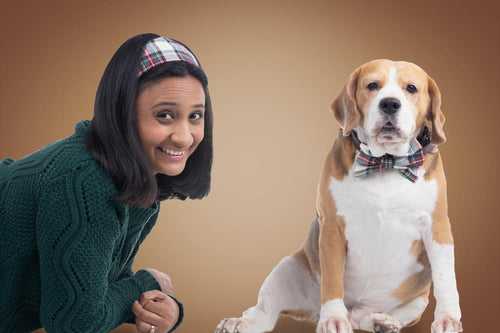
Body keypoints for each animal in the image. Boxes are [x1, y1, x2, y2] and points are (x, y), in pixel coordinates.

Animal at [217, 60, 462, 332]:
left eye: (411, 88)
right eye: (372, 85)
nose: (389, 103)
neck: (385, 162)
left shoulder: (437, 227)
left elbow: (445, 278)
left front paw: (448, 318)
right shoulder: (332, 226)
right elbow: (333, 280)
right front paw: (333, 319)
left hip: (417, 299)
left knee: (370, 315)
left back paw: (381, 321)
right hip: (286, 269)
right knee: (264, 312)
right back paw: (241, 323)